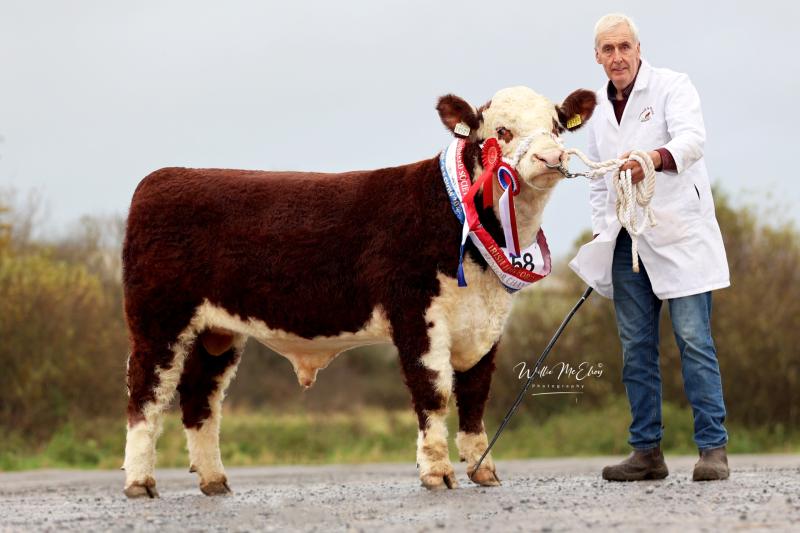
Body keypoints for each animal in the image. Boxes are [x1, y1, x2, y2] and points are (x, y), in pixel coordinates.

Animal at [121, 86, 597, 498]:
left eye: (557, 126)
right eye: (502, 131)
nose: (552, 157)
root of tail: (162, 178)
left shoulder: (486, 324)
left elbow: (476, 394)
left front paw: (484, 470)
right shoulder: (416, 314)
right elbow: (434, 391)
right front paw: (438, 472)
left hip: (216, 331)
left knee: (200, 398)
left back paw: (213, 480)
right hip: (158, 320)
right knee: (147, 393)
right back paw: (140, 482)